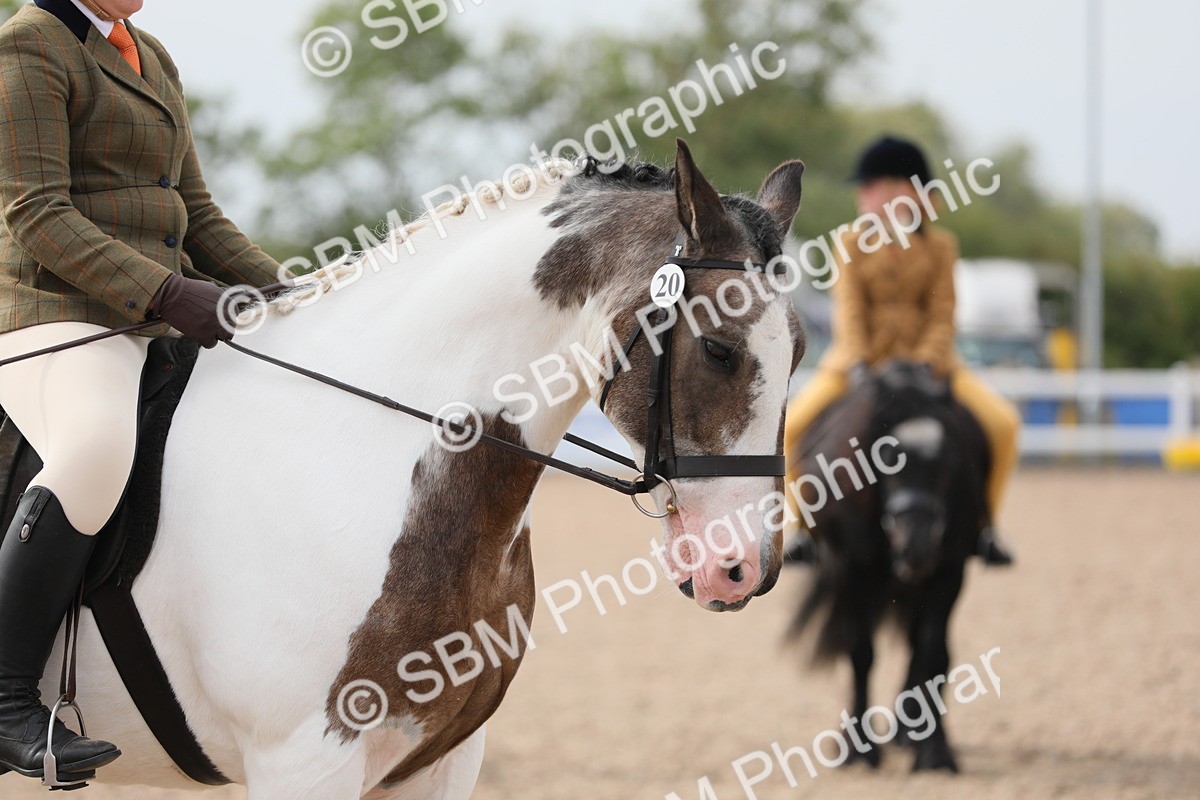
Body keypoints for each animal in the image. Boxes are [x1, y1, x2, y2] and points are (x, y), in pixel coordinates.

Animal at [788, 360, 989, 772]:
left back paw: (910, 731)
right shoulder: (848, 568)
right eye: (885, 458)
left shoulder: (950, 570)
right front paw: (859, 748)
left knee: (921, 647)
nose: (917, 545)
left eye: (949, 460)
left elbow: (933, 652)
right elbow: (860, 652)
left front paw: (935, 751)